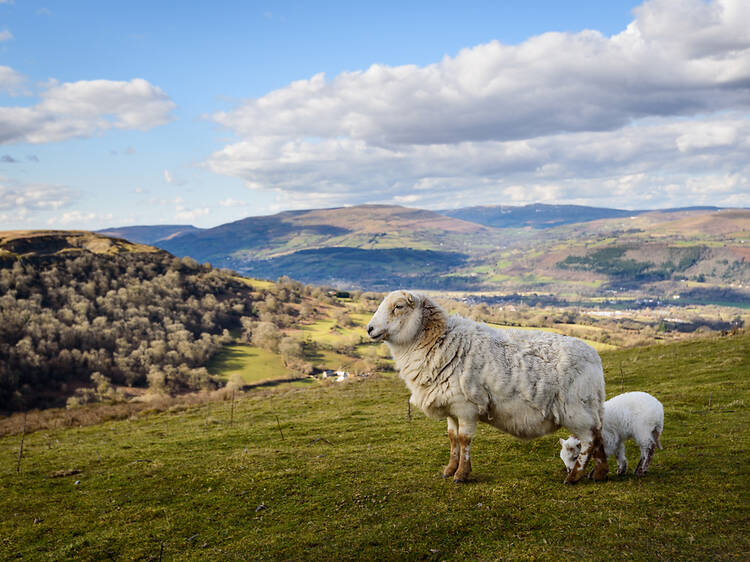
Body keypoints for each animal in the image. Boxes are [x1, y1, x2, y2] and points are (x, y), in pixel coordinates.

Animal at [368, 288, 612, 482]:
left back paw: (574, 477)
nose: (369, 329)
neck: (440, 341)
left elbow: (464, 440)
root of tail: (594, 357)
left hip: (576, 409)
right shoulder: (451, 407)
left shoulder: (466, 406)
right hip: (590, 408)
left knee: (589, 440)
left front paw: (461, 475)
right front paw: (449, 470)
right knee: (599, 435)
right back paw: (599, 473)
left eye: (398, 306)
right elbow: (452, 439)